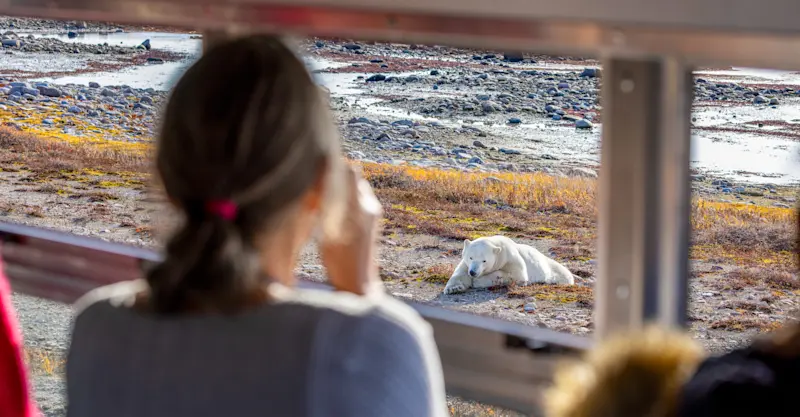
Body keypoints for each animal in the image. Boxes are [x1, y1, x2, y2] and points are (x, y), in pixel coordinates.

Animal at [443, 235, 575, 295]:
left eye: (484, 261)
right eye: (471, 257)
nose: (473, 272)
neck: (498, 247)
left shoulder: (510, 258)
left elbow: (516, 275)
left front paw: (478, 281)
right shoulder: (466, 264)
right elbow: (460, 273)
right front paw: (454, 288)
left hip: (553, 268)